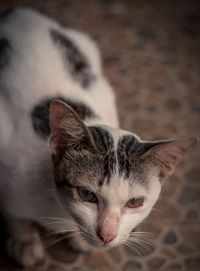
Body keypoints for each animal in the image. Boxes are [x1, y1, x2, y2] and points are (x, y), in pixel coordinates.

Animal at [0, 6, 197, 268]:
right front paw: (24, 242)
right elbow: (14, 214)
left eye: (135, 202)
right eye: (87, 195)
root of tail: (21, 12)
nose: (107, 235)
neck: (57, 209)